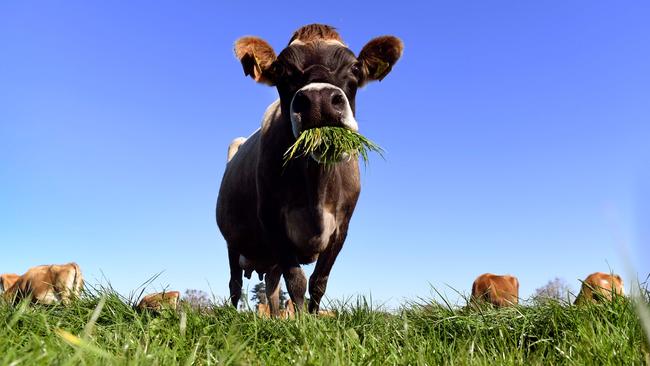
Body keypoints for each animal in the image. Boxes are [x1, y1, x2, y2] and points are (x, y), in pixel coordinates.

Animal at [215, 22, 402, 316]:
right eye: (281, 69)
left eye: (355, 67)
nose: (319, 100)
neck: (315, 189)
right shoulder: (272, 220)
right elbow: (297, 281)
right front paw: (302, 321)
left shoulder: (341, 227)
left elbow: (318, 281)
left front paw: (314, 319)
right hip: (232, 240)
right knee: (235, 283)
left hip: (269, 258)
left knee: (271, 286)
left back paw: (275, 318)